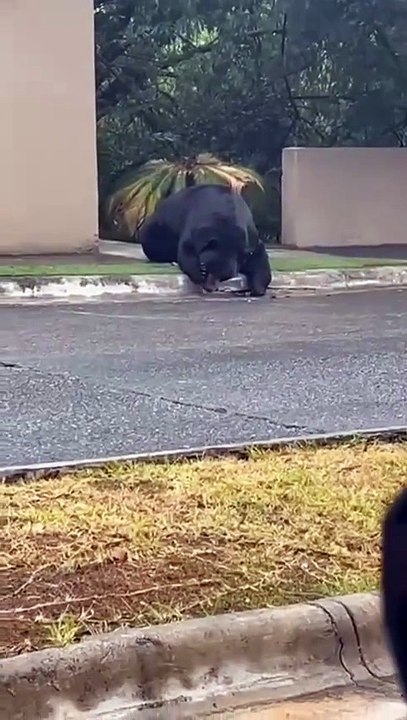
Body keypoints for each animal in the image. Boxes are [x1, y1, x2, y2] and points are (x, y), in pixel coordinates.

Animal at [139, 184, 271, 296]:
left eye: (224, 277)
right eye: (206, 268)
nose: (210, 288)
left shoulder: (249, 238)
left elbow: (258, 256)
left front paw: (258, 289)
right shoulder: (196, 226)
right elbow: (187, 249)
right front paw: (198, 273)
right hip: (156, 231)